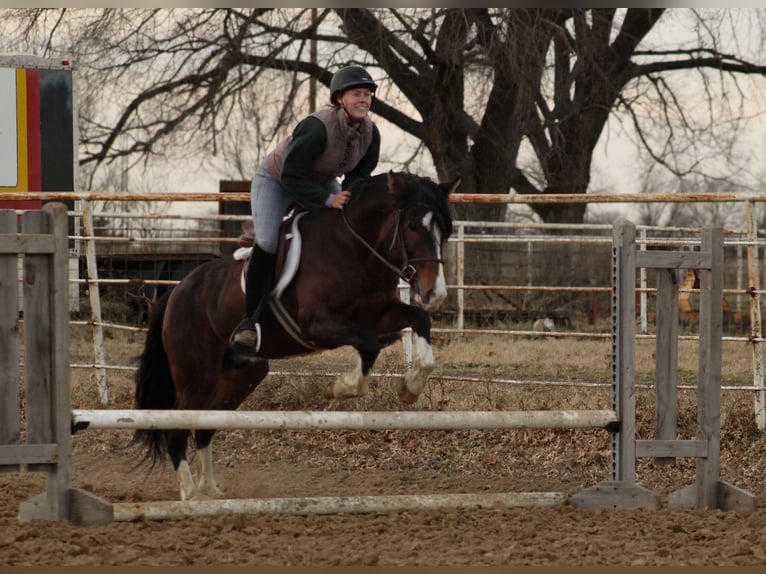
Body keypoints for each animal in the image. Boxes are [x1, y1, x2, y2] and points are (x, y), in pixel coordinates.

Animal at [132, 171, 460, 500]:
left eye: (444, 231)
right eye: (412, 226)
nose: (436, 294)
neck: (355, 249)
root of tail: (177, 291)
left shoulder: (379, 314)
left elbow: (419, 320)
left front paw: (411, 386)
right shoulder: (317, 324)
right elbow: (368, 345)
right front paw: (341, 388)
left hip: (240, 377)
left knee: (204, 424)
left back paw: (211, 490)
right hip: (195, 374)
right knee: (177, 427)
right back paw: (191, 495)